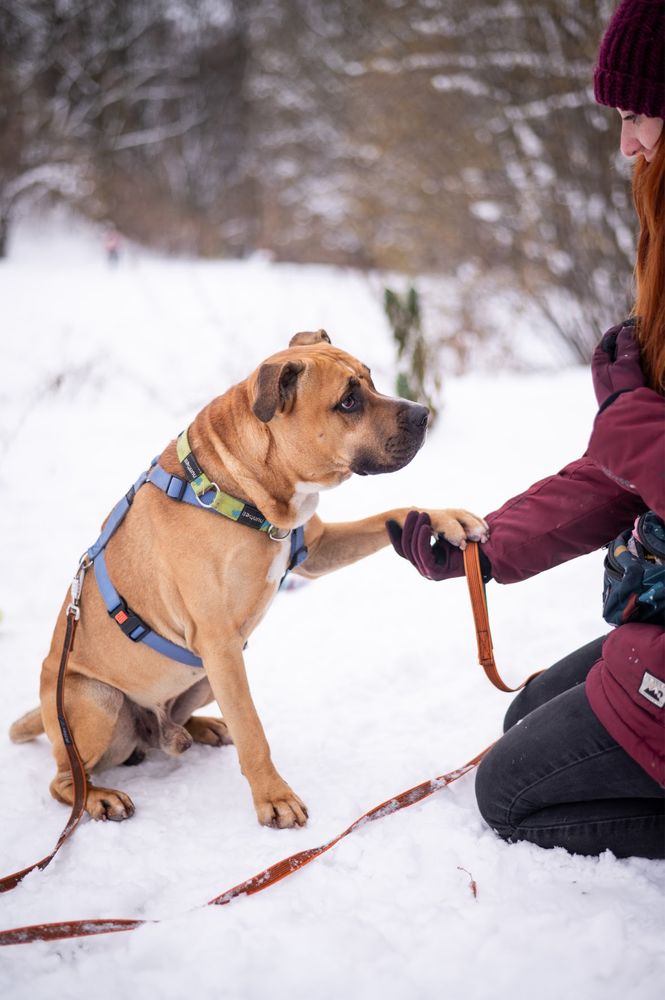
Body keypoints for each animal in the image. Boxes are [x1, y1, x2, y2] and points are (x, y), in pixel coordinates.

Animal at [9, 332, 488, 832]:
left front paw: (447, 519)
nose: (423, 413)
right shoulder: (219, 641)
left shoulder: (314, 551)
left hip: (203, 674)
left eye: (371, 380)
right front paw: (274, 798)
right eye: (348, 401)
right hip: (100, 699)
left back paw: (199, 727)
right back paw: (101, 797)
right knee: (65, 781)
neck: (241, 489)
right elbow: (253, 730)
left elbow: (392, 514)